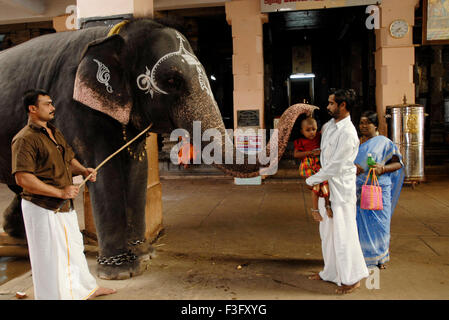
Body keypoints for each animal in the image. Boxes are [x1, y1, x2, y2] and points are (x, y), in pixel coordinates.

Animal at [0, 17, 316, 278]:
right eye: (172, 81)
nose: (310, 108)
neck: (114, 35)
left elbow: (137, 168)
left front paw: (144, 255)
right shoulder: (74, 104)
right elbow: (105, 170)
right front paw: (121, 273)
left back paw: (18, 235)